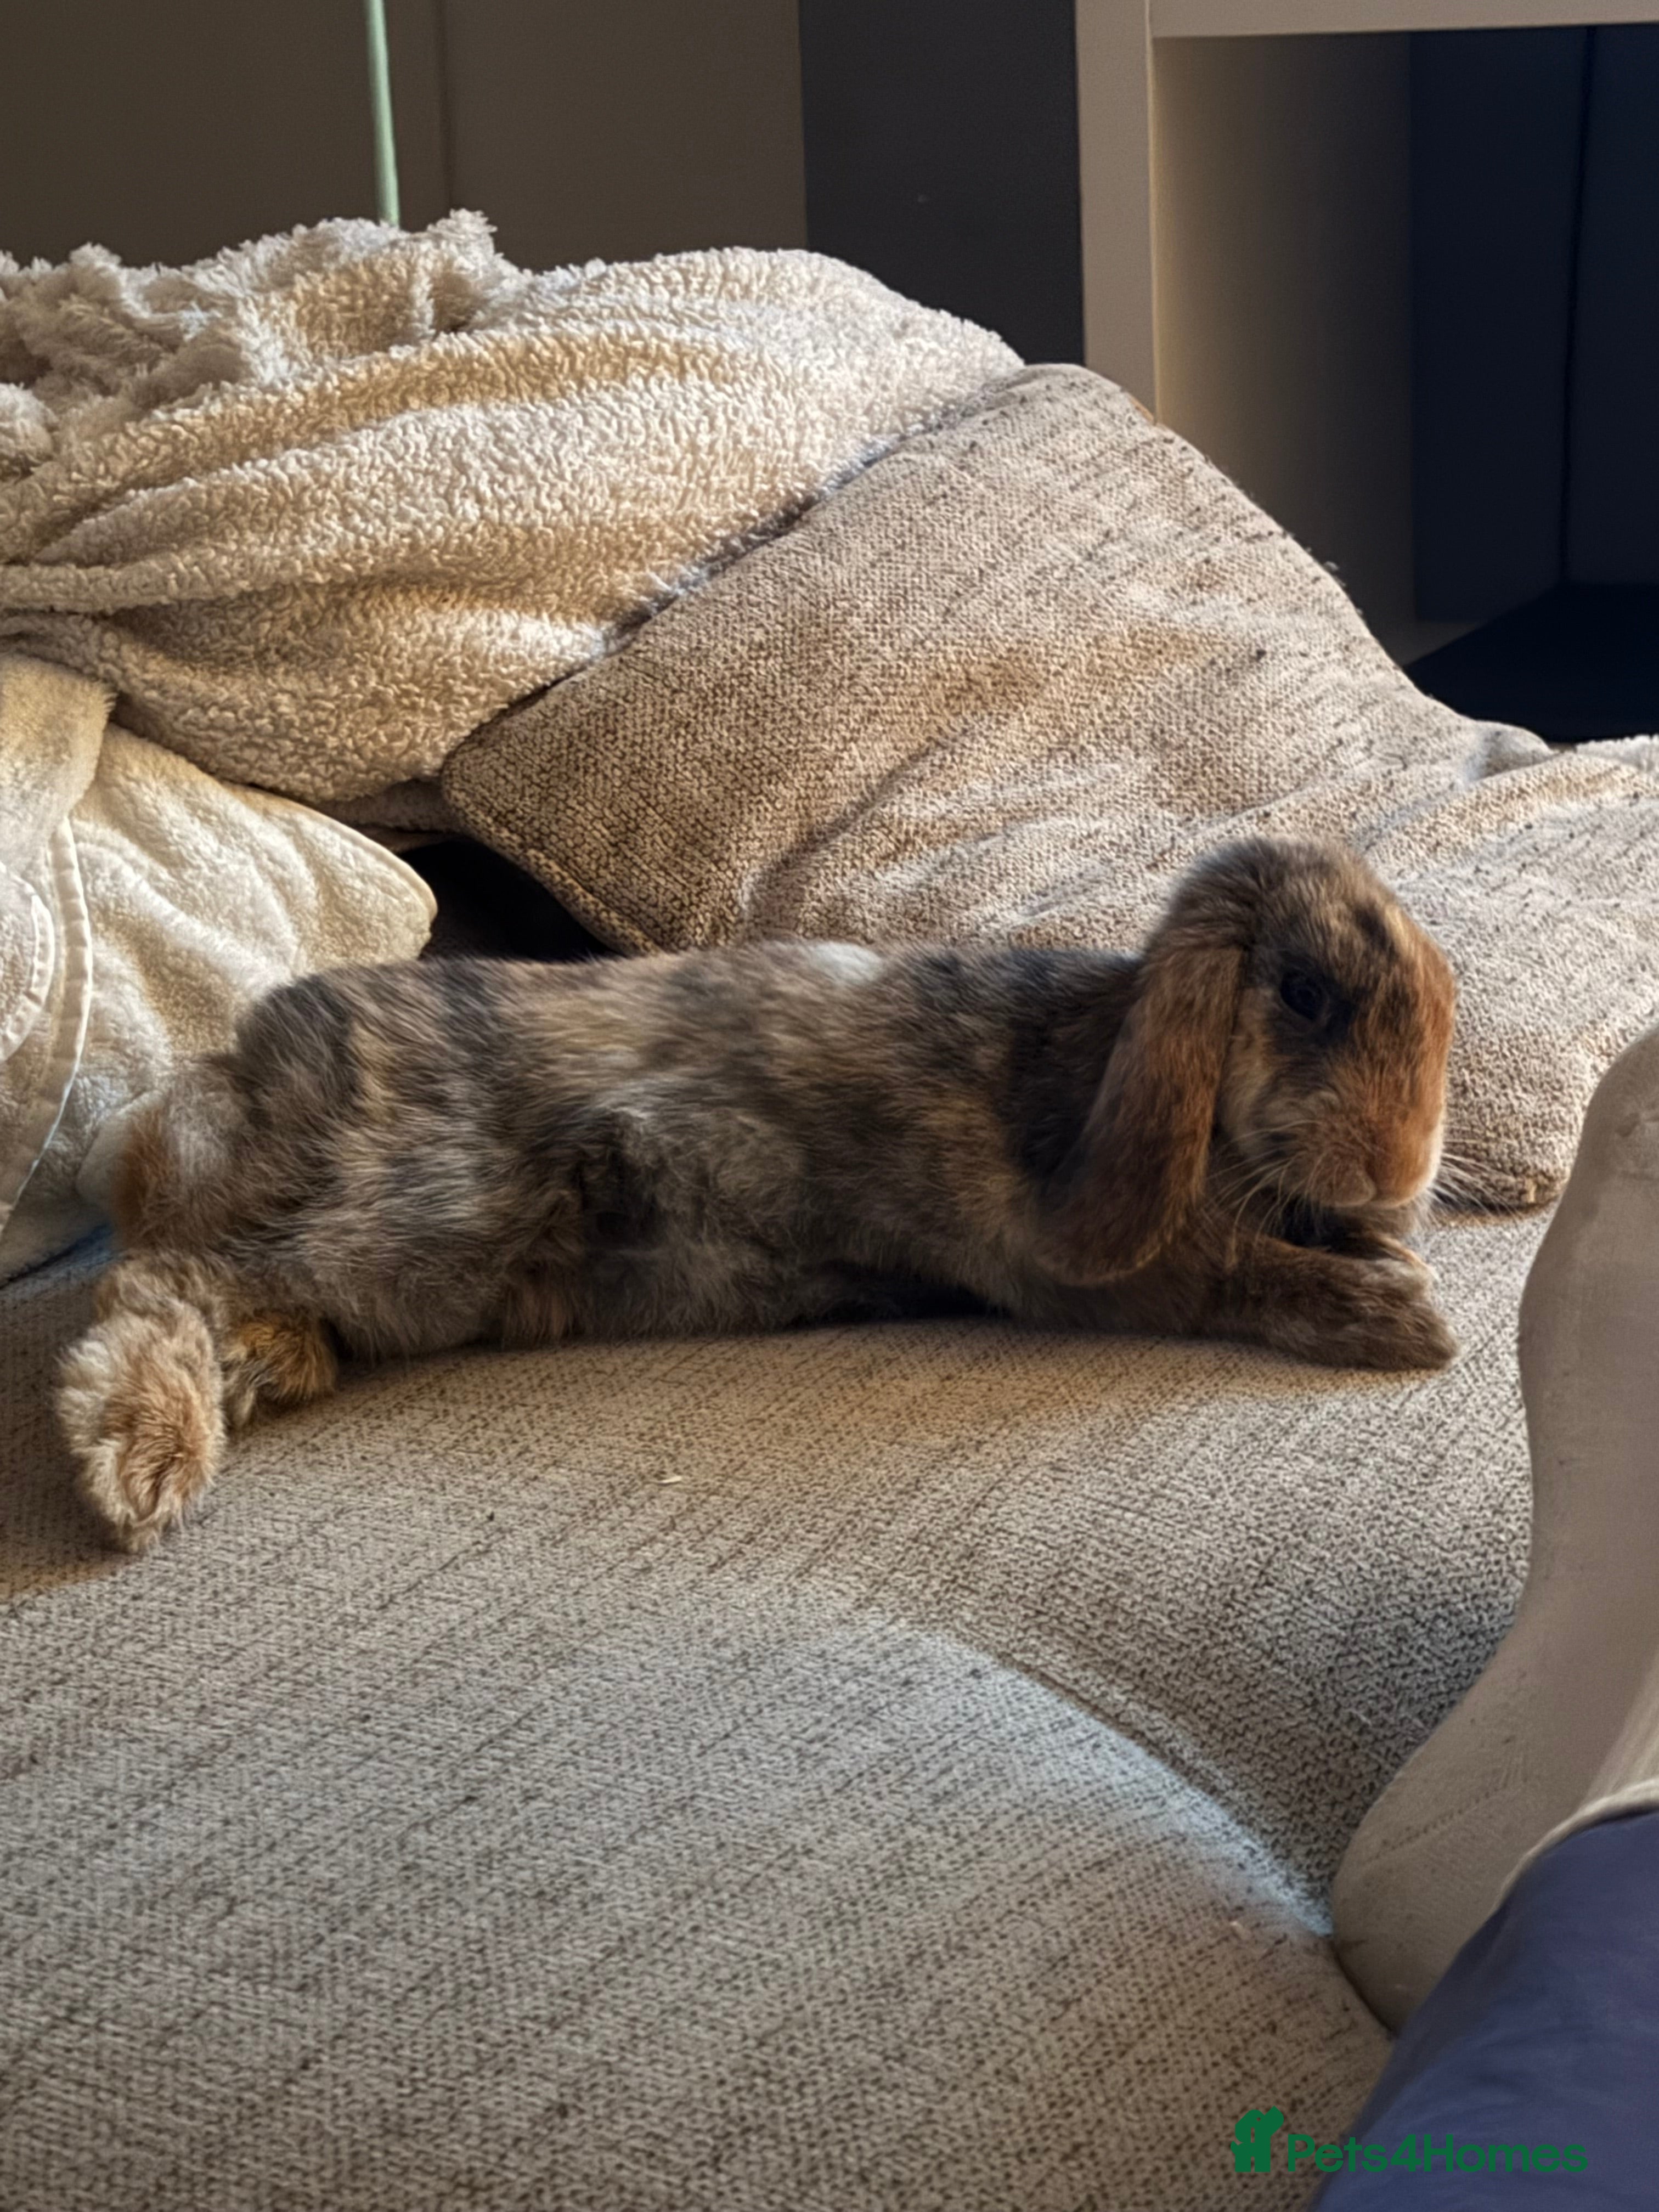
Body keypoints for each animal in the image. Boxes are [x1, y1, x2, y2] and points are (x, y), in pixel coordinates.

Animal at [58, 835, 1458, 1553]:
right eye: (1305, 995)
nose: (1401, 1173)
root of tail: (218, 1090)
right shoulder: (1092, 1269)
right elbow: (1240, 1272)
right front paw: (1411, 1322)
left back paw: (255, 1381)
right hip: (409, 1215)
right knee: (156, 1282)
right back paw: (144, 1464)